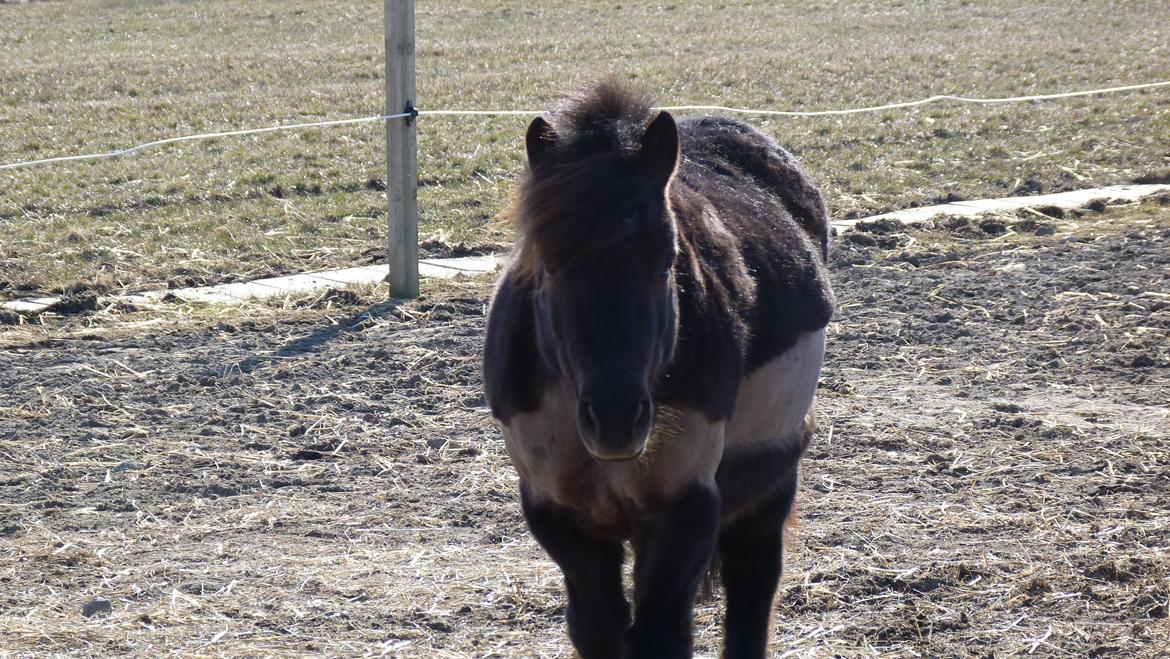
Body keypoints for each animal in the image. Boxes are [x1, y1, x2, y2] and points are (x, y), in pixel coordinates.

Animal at [482, 82, 833, 659]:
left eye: (667, 261)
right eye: (549, 266)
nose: (616, 419)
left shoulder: (684, 508)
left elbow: (659, 634)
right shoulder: (558, 512)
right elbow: (598, 626)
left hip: (772, 478)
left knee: (753, 586)